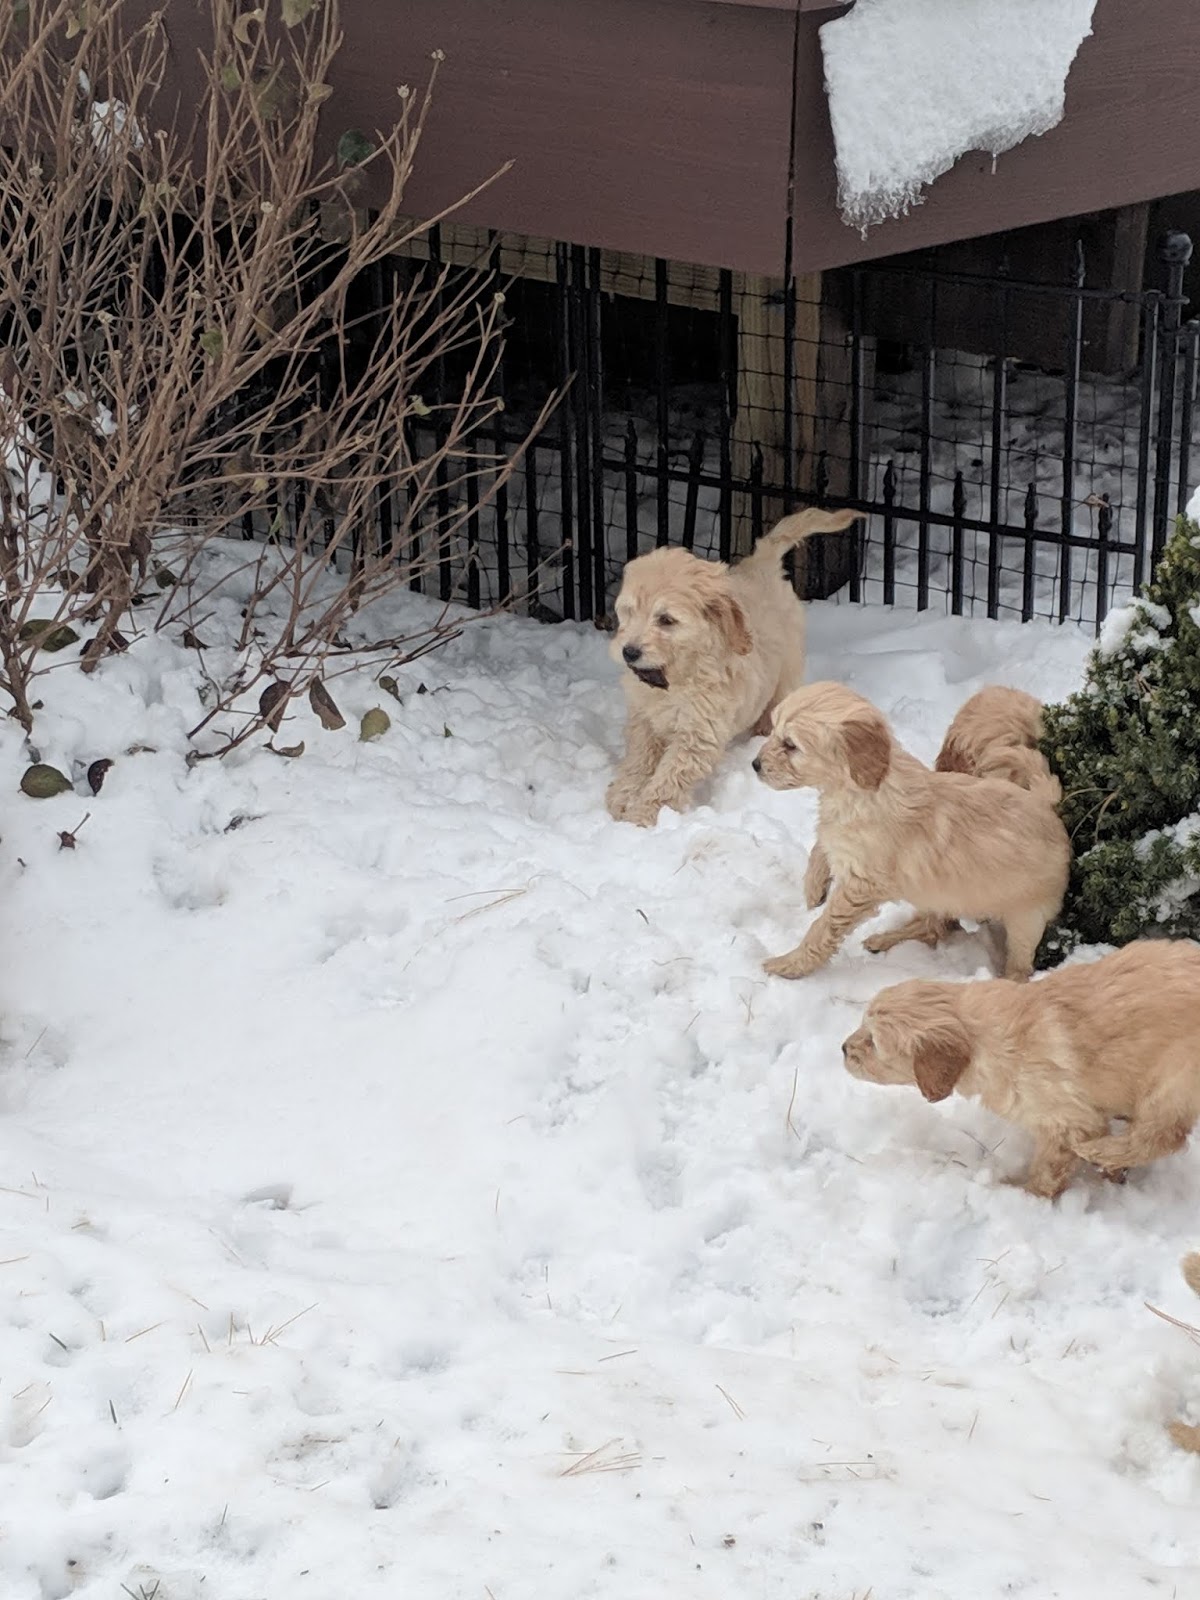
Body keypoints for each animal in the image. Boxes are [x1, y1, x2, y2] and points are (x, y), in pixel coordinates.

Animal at [611, 508, 864, 825]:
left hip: (786, 675)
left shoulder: (698, 736)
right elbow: (638, 760)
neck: (674, 677)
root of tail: (762, 566)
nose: (629, 652)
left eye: (666, 620)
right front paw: (623, 798)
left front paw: (644, 815)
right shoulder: (643, 719)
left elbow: (669, 778)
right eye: (629, 612)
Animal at [755, 681, 1075, 979]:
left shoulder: (861, 885)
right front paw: (814, 887)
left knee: (1019, 965)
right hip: (941, 893)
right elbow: (821, 843)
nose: (755, 764)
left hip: (1026, 915)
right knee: (935, 927)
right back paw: (885, 939)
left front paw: (789, 964)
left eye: (791, 745)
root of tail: (1045, 802)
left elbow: (823, 927)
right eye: (774, 729)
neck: (864, 790)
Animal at [838, 934, 1200, 1203]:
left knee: (1162, 1137)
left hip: (1172, 1081)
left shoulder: (1067, 1118)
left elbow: (1048, 1168)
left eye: (873, 1042)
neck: (983, 1035)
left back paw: (1103, 1153)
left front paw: (1026, 1195)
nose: (842, 1049)